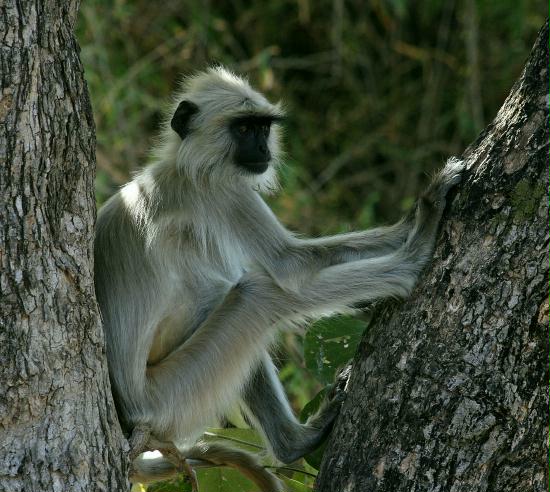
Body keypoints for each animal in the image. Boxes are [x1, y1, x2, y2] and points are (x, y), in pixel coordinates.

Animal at [95, 67, 466, 490]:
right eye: (243, 129)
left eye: (262, 127)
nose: (262, 147)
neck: (184, 166)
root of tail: (131, 424)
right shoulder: (224, 191)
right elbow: (292, 267)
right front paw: (423, 224)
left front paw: (413, 218)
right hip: (170, 398)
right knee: (260, 293)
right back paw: (411, 260)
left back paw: (293, 444)